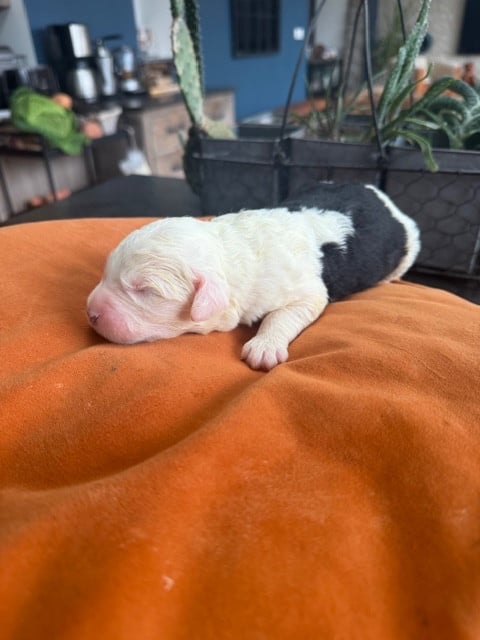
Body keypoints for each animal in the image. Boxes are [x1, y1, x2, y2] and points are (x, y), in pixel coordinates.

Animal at [87, 183, 420, 370]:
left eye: (146, 291)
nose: (91, 313)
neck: (228, 250)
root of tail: (380, 195)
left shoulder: (306, 292)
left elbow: (282, 315)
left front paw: (264, 347)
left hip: (409, 244)